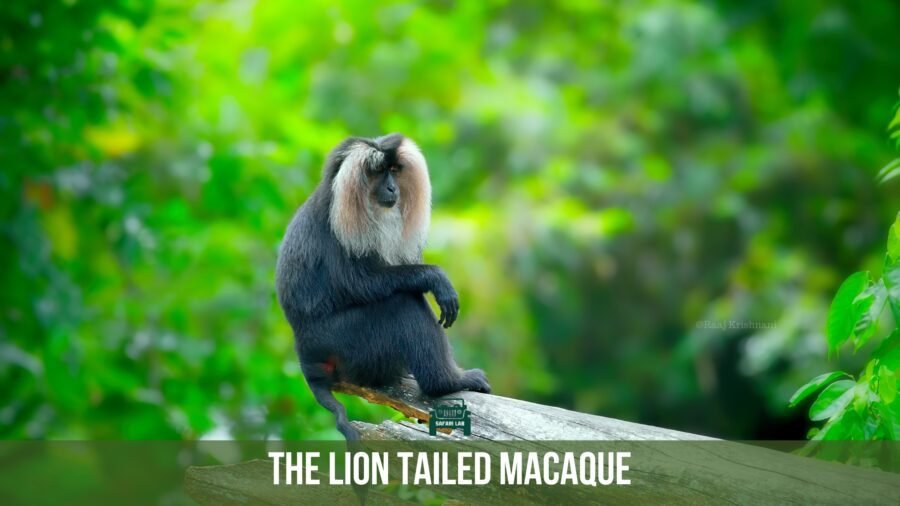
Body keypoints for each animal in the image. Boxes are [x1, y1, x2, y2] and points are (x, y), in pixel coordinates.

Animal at [275, 133, 491, 441]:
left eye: (394, 170)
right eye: (378, 171)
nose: (391, 187)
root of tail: (305, 354)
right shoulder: (337, 229)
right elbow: (360, 283)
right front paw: (436, 278)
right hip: (347, 342)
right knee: (402, 304)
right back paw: (446, 383)